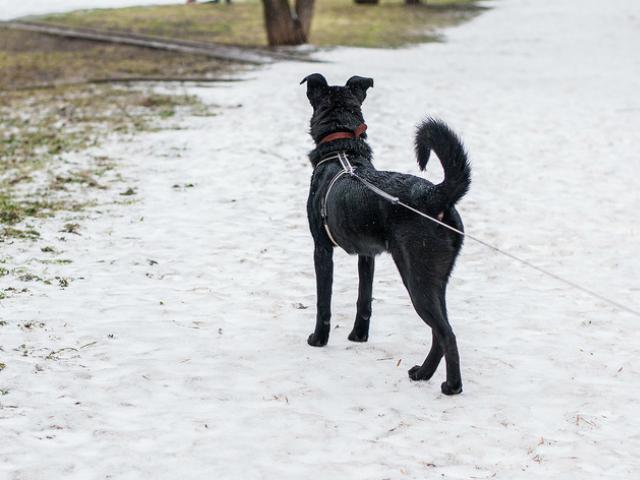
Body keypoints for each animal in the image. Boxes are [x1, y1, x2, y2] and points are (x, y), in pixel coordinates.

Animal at [300, 72, 470, 394]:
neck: (342, 151)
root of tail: (435, 195)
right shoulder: (367, 254)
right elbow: (364, 299)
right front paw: (358, 336)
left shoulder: (321, 248)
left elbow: (323, 302)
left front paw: (318, 340)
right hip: (434, 279)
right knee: (439, 330)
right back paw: (423, 373)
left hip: (416, 276)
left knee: (447, 333)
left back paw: (451, 386)